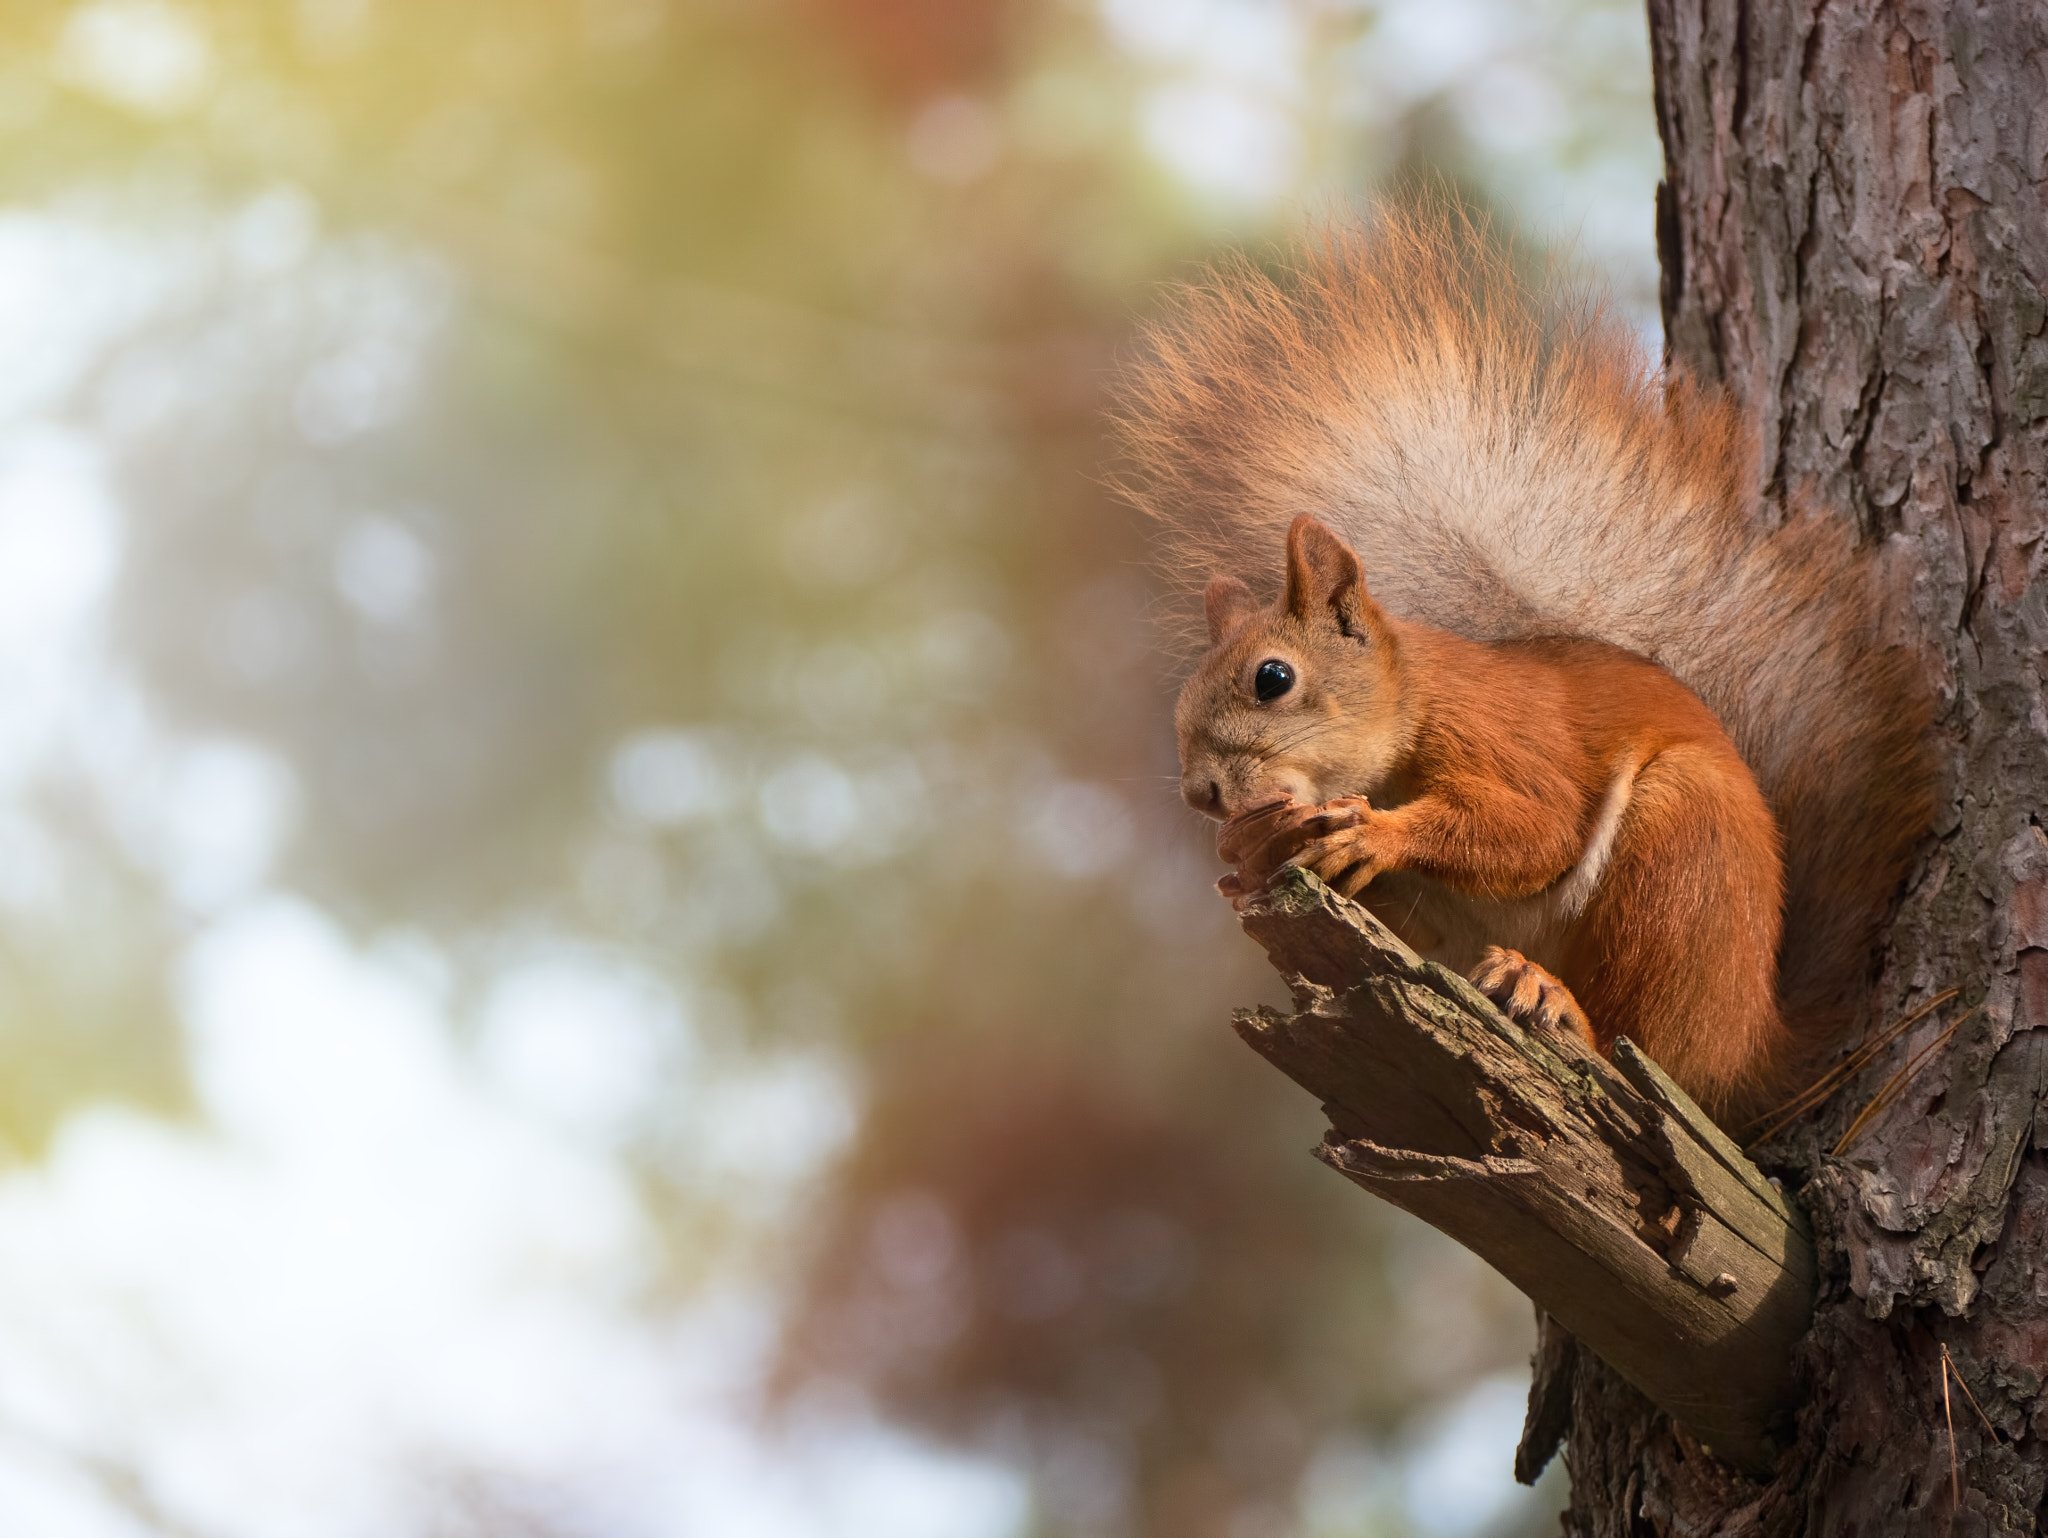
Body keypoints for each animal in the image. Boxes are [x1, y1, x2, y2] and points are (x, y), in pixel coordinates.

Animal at [1112, 207, 1934, 1123]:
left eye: (1273, 679)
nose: (1203, 795)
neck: (1412, 705)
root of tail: (1757, 1045)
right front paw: (1252, 850)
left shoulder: (1500, 730)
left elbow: (1538, 827)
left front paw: (1377, 829)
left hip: (1686, 858)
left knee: (1650, 1041)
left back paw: (1557, 998)